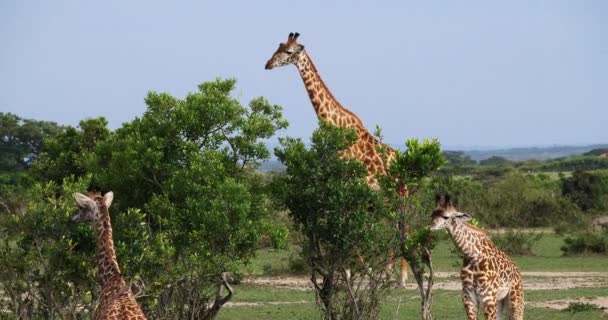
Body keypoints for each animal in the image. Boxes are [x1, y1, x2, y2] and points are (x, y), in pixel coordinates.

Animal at [264, 32, 408, 286]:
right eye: (278, 47)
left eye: (289, 51)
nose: (268, 64)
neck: (334, 125)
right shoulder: (341, 182)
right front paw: (353, 271)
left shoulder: (347, 180)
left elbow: (346, 224)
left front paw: (357, 270)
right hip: (385, 195)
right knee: (393, 224)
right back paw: (388, 271)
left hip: (399, 192)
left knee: (402, 225)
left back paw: (401, 276)